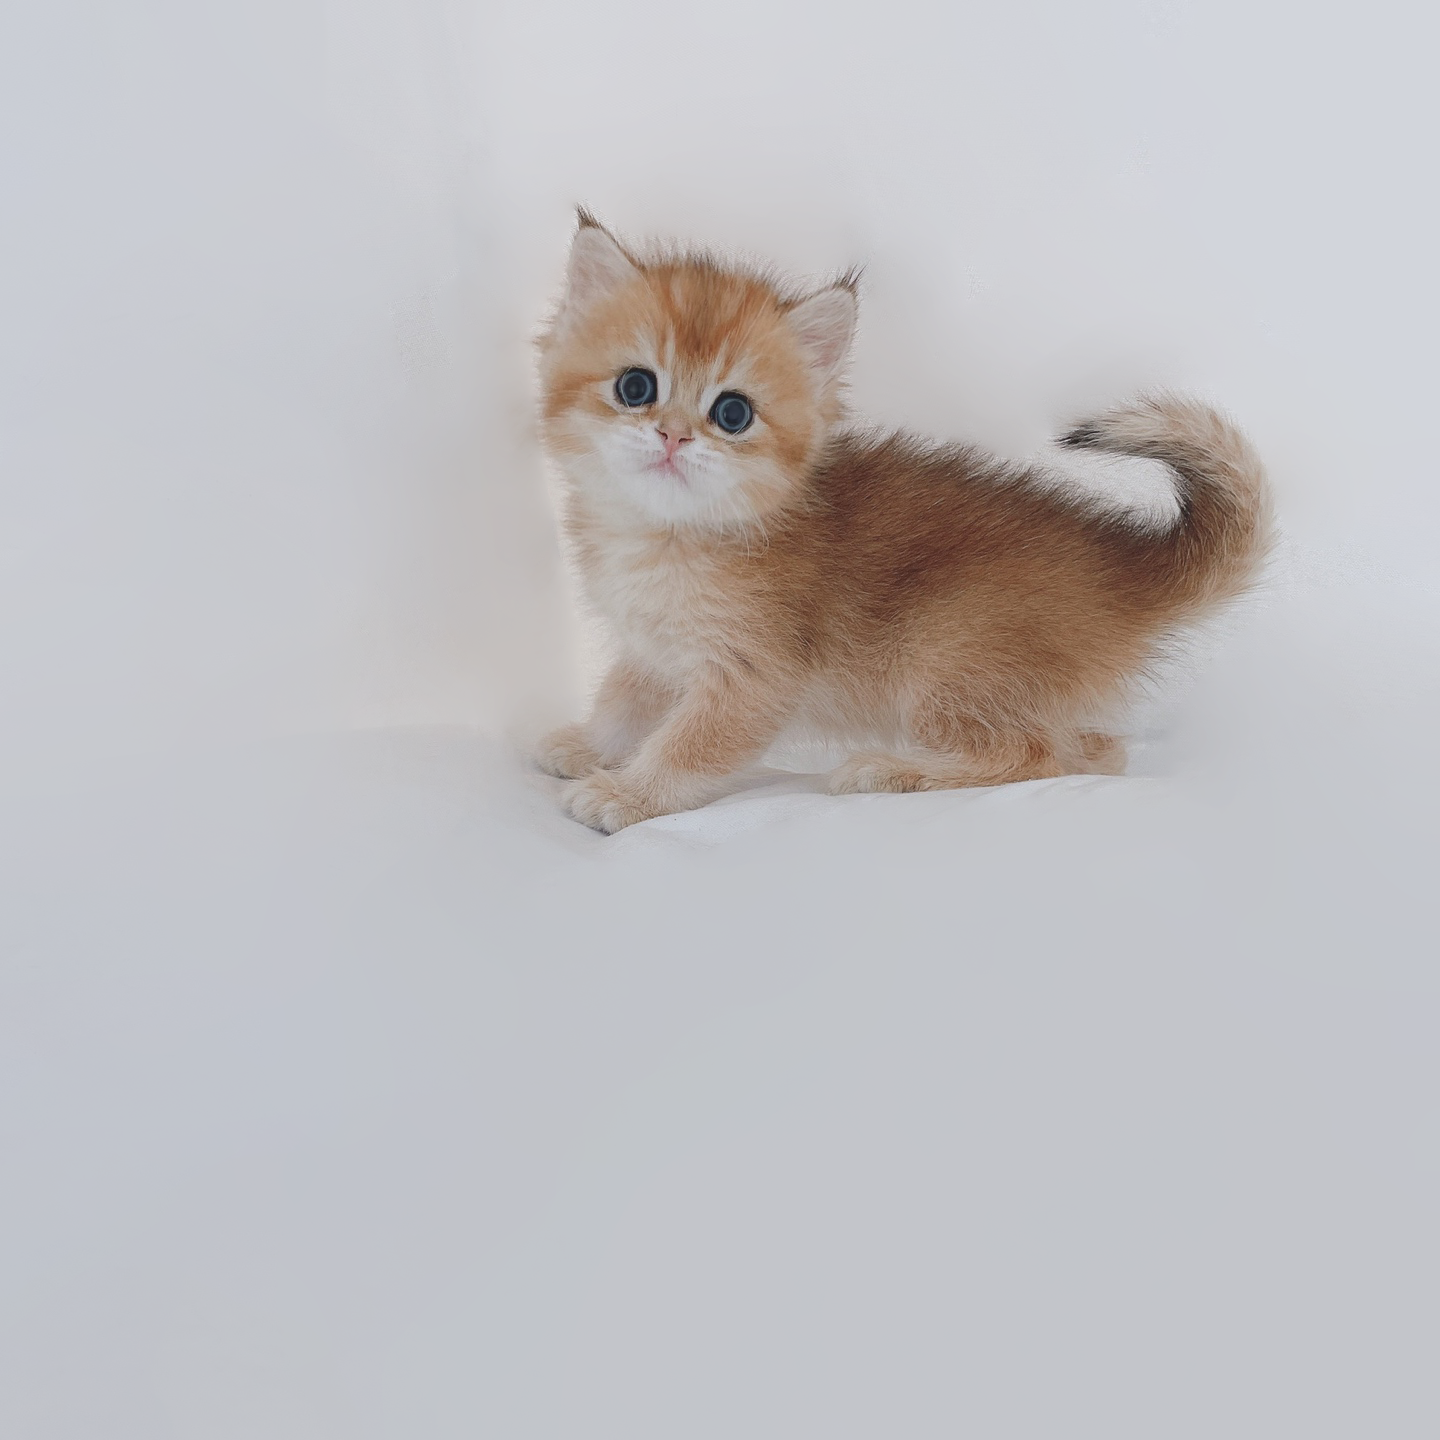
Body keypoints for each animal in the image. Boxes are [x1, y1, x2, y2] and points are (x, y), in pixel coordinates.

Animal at [535, 209, 1272, 833]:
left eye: (732, 413)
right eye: (636, 387)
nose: (672, 437)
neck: (665, 537)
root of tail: (1124, 566)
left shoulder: (753, 676)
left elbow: (689, 744)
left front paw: (628, 793)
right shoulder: (651, 650)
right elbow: (623, 703)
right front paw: (588, 746)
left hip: (942, 659)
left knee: (1033, 756)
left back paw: (893, 771)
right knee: (1098, 751)